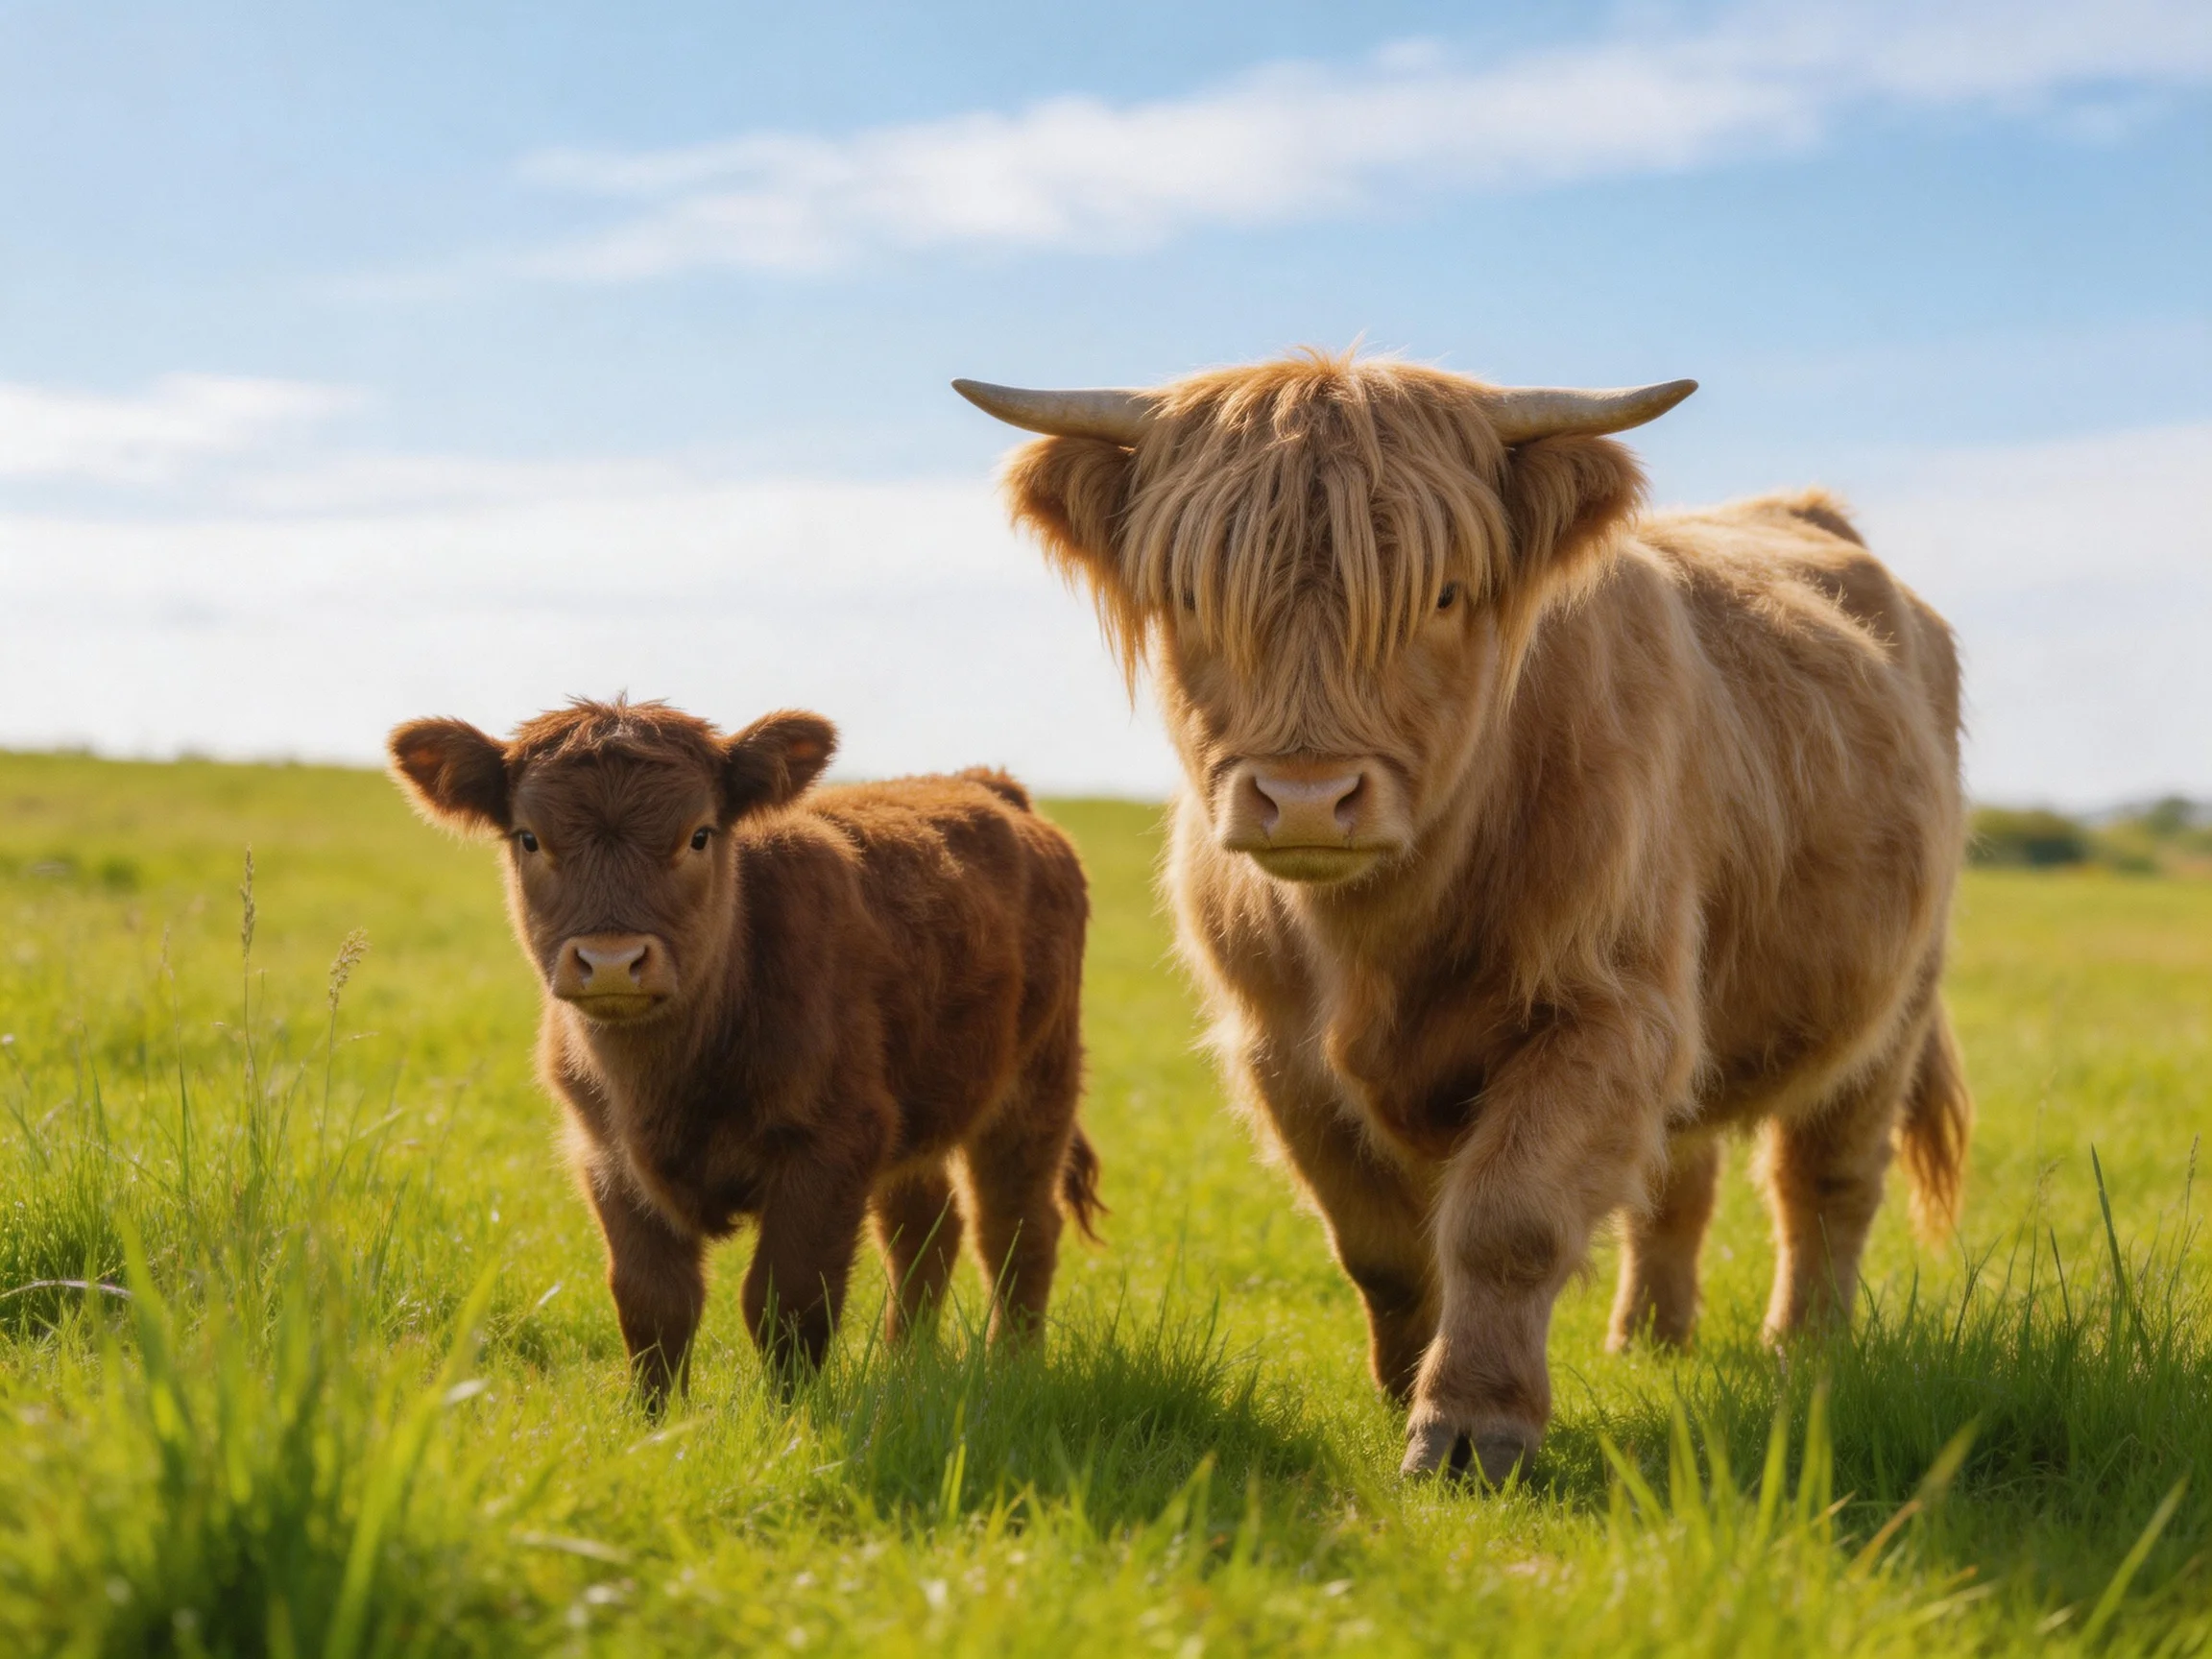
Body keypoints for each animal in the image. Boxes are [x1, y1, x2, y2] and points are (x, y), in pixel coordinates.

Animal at [387, 698, 1098, 1406]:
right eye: (529, 838)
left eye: (699, 835)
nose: (613, 962)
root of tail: (987, 784)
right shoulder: (608, 1159)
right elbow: (653, 1305)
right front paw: (655, 1420)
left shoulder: (832, 1145)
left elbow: (787, 1301)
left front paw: (791, 1416)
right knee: (925, 1228)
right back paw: (908, 1366)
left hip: (1037, 1084)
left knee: (1015, 1228)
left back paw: (1013, 1366)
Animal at [954, 351, 1970, 1482]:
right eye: (1188, 593)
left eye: (1441, 594)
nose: (1306, 798)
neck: (1377, 936)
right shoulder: (1281, 1054)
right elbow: (1378, 1244)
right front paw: (1400, 1385)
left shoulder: (1608, 1014)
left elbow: (1507, 1218)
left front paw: (1473, 1426)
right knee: (1680, 1178)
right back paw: (1647, 1341)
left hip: (1892, 1002)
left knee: (1824, 1181)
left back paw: (1805, 1350)